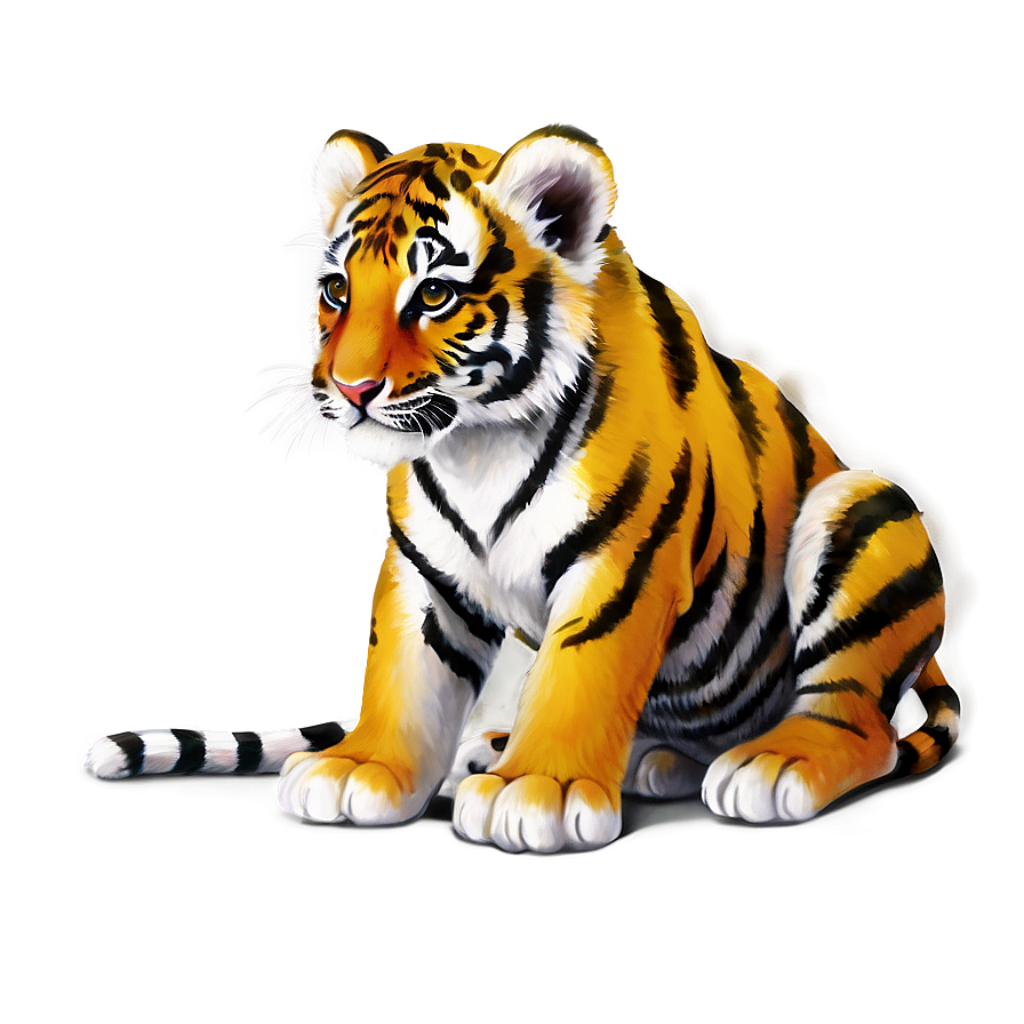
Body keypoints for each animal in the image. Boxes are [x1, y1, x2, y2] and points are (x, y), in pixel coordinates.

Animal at [84, 123, 961, 852]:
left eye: (434, 295)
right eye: (336, 292)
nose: (351, 389)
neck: (478, 444)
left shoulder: (622, 565)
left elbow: (579, 676)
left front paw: (538, 790)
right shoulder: (422, 570)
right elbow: (404, 675)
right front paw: (362, 768)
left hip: (860, 513)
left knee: (858, 721)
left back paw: (769, 765)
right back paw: (598, 756)